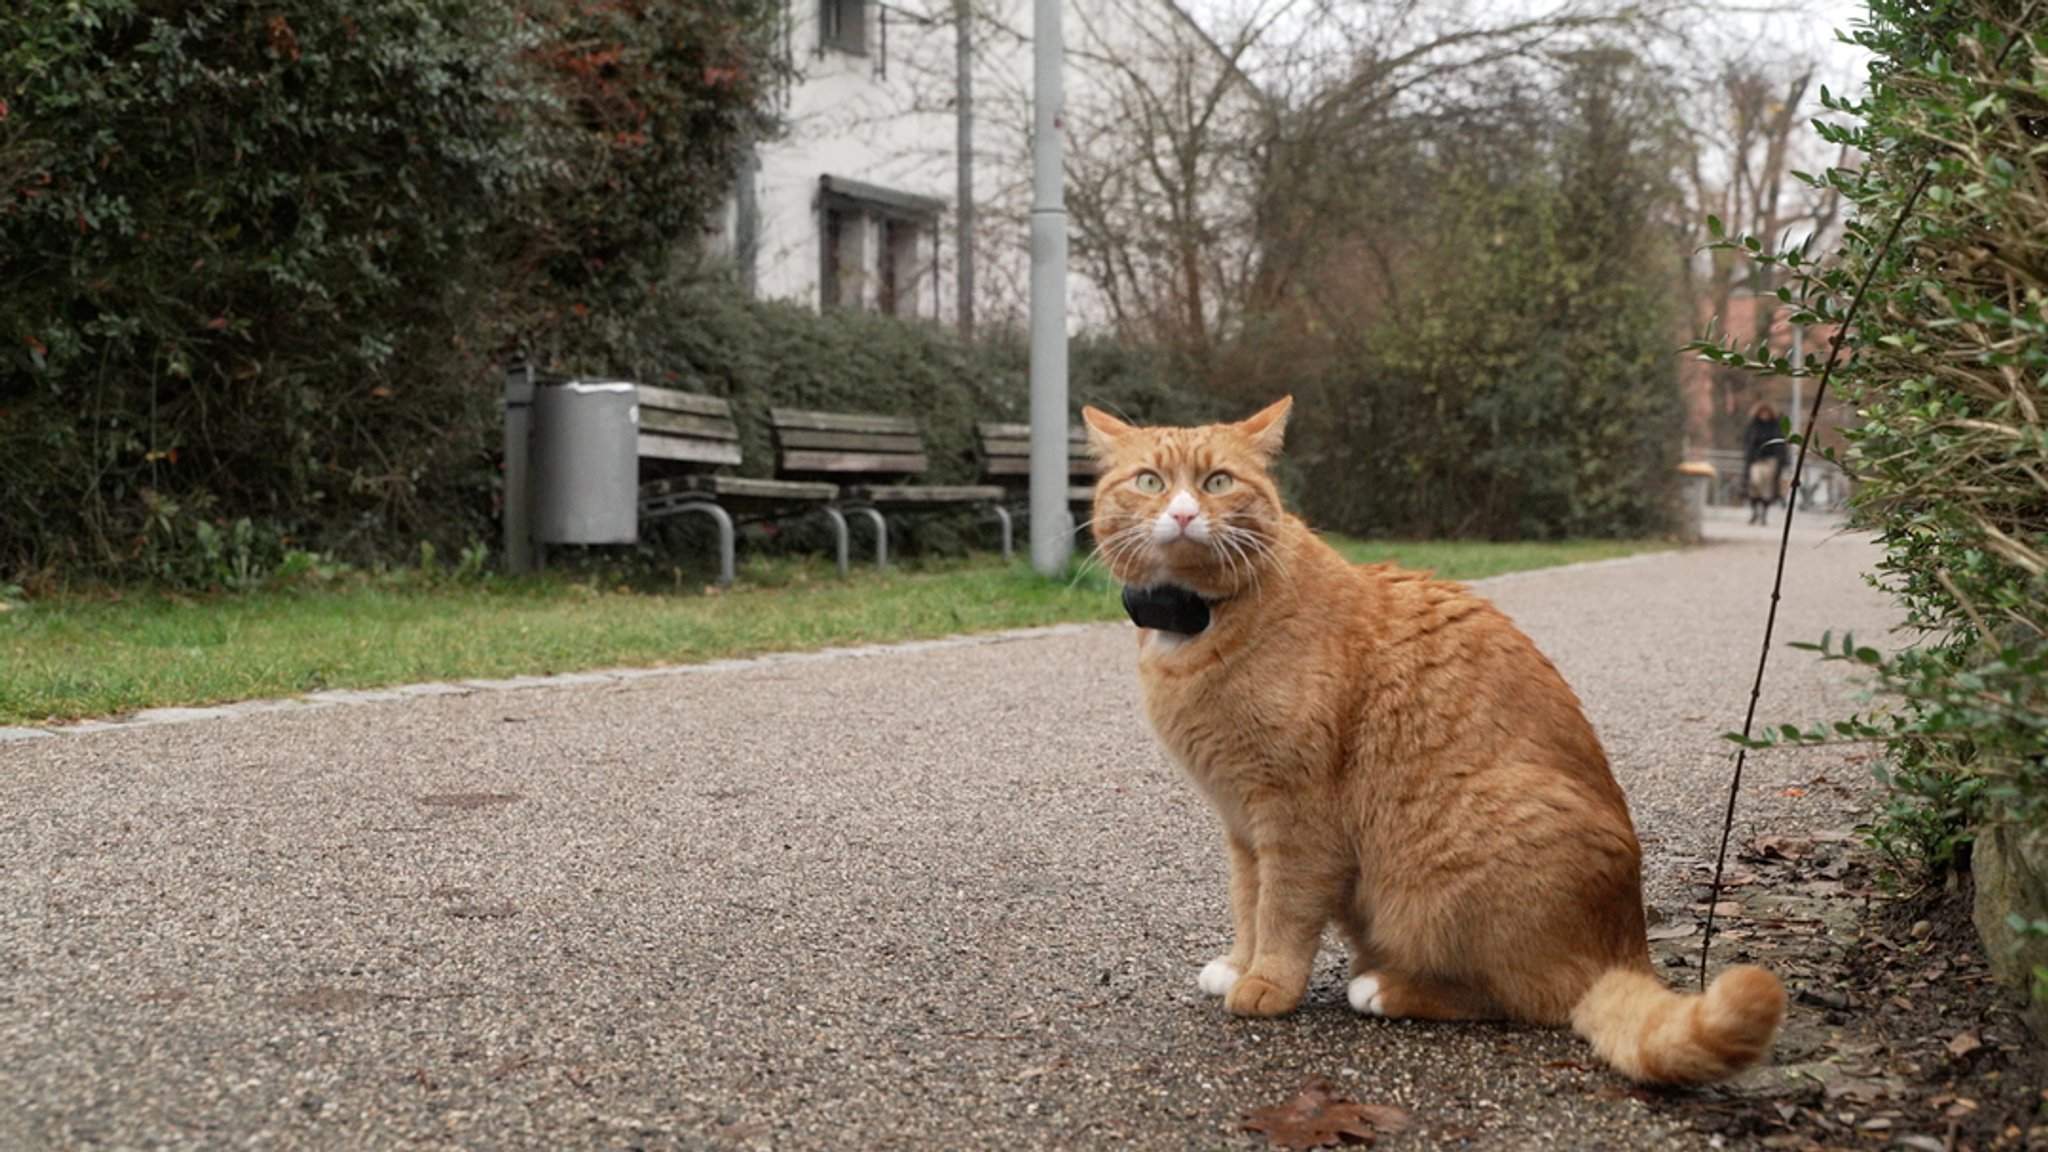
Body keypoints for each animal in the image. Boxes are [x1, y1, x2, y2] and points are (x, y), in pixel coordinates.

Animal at [1081, 393, 1785, 1074]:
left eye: (1218, 481)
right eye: (1150, 481)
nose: (1181, 514)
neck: (1200, 626)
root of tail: (1626, 947)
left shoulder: (1294, 816)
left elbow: (1282, 910)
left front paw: (1268, 983)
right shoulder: (1242, 824)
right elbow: (1247, 901)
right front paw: (1239, 962)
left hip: (1447, 868)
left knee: (1531, 997)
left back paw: (1383, 987)